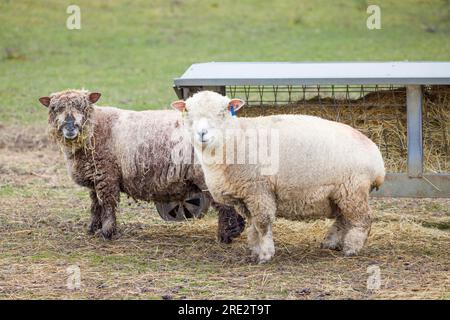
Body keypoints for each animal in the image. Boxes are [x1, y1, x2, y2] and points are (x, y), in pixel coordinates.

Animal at [171, 90, 384, 262]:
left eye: (223, 112)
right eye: (187, 111)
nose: (202, 133)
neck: (234, 140)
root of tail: (377, 157)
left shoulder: (258, 189)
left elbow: (263, 223)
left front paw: (265, 254)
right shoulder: (244, 197)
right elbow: (253, 226)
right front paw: (255, 250)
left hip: (353, 188)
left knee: (363, 219)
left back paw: (351, 248)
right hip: (339, 192)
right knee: (343, 218)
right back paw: (332, 242)